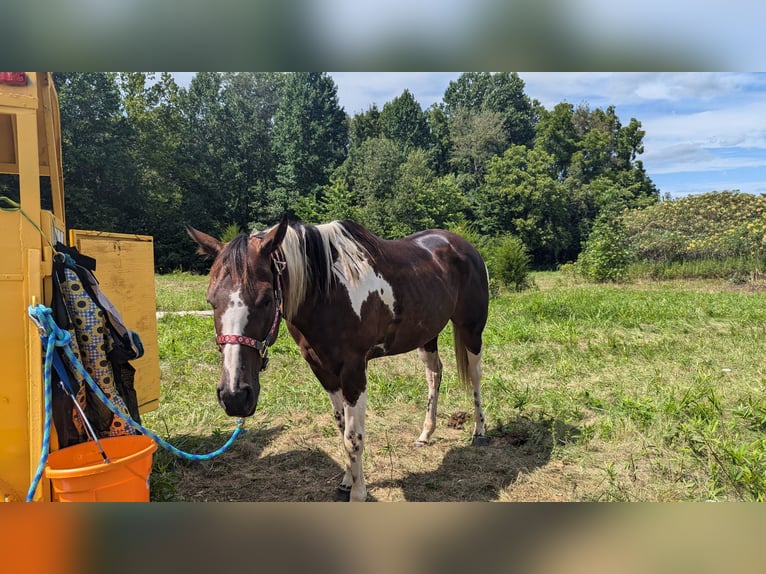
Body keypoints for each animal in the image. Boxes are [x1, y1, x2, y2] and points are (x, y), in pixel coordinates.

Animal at [186, 216, 489, 501]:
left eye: (265, 300)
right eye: (211, 301)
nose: (235, 396)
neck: (327, 294)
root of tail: (464, 246)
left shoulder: (354, 370)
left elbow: (353, 437)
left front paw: (358, 493)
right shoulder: (324, 370)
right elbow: (342, 427)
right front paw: (346, 482)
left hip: (471, 330)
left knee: (475, 376)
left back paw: (479, 432)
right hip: (427, 336)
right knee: (434, 375)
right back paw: (425, 435)